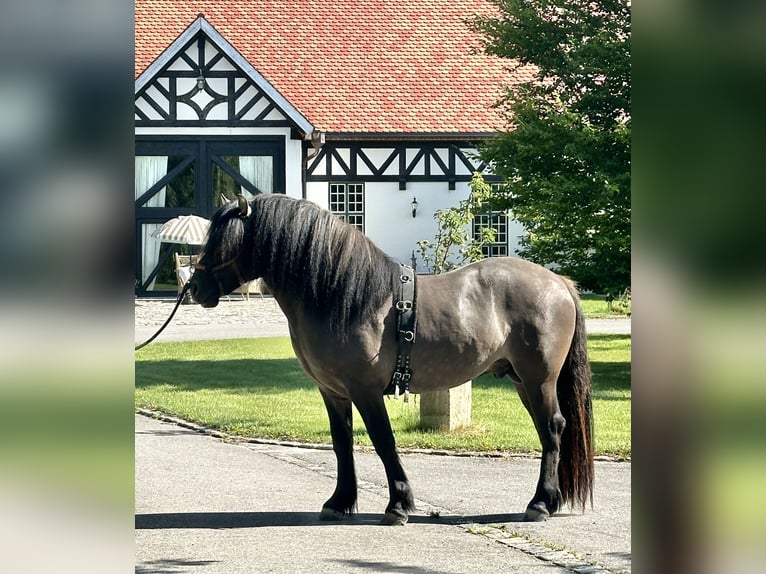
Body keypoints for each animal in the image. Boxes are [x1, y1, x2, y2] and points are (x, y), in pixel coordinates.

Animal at [189, 195, 596, 528]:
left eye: (225, 241)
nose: (195, 288)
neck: (342, 297)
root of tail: (558, 283)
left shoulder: (366, 391)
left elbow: (383, 441)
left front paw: (398, 505)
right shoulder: (333, 393)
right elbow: (342, 443)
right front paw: (339, 502)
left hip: (538, 378)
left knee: (552, 428)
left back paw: (540, 504)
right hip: (521, 380)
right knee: (548, 429)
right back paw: (550, 500)